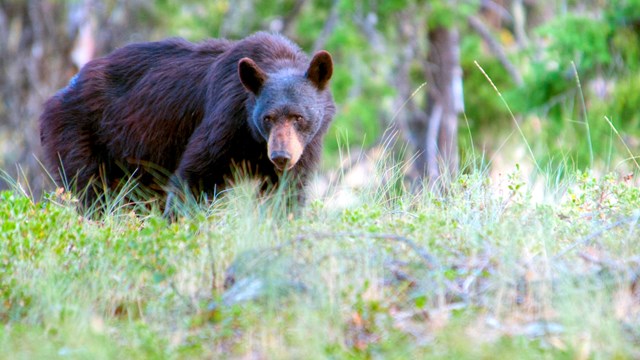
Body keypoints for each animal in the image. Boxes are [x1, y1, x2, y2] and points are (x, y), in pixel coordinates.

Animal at [40, 32, 338, 214]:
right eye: (268, 118)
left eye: (299, 117)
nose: (280, 156)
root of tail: (59, 94)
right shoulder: (225, 120)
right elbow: (198, 174)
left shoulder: (307, 145)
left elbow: (287, 192)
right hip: (79, 134)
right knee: (92, 190)